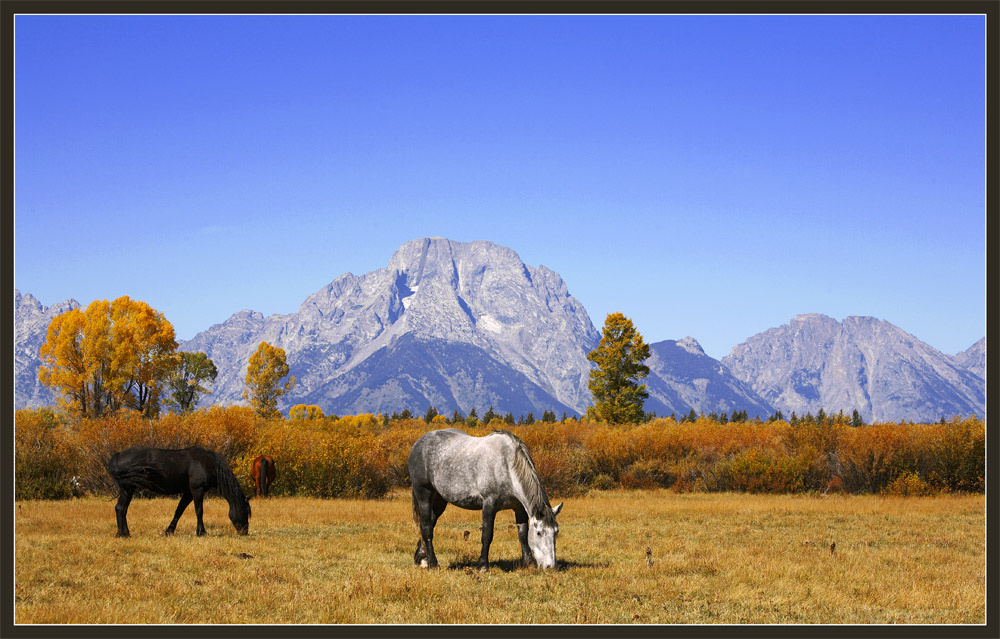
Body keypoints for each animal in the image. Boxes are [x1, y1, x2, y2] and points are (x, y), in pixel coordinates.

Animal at [106, 446, 251, 537]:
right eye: (245, 511)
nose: (245, 532)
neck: (207, 463)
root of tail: (118, 455)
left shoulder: (188, 492)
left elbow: (179, 510)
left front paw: (169, 531)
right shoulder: (197, 490)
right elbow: (199, 511)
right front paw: (201, 532)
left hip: (128, 490)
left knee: (122, 509)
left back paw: (125, 533)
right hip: (127, 489)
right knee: (120, 508)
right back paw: (123, 534)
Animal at [407, 428, 563, 570]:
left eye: (556, 532)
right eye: (539, 533)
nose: (550, 566)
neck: (507, 465)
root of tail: (418, 444)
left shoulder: (519, 508)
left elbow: (522, 534)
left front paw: (528, 563)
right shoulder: (489, 505)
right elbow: (487, 535)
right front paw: (483, 565)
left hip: (440, 500)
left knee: (430, 523)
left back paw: (422, 559)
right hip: (424, 493)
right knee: (426, 526)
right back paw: (433, 564)